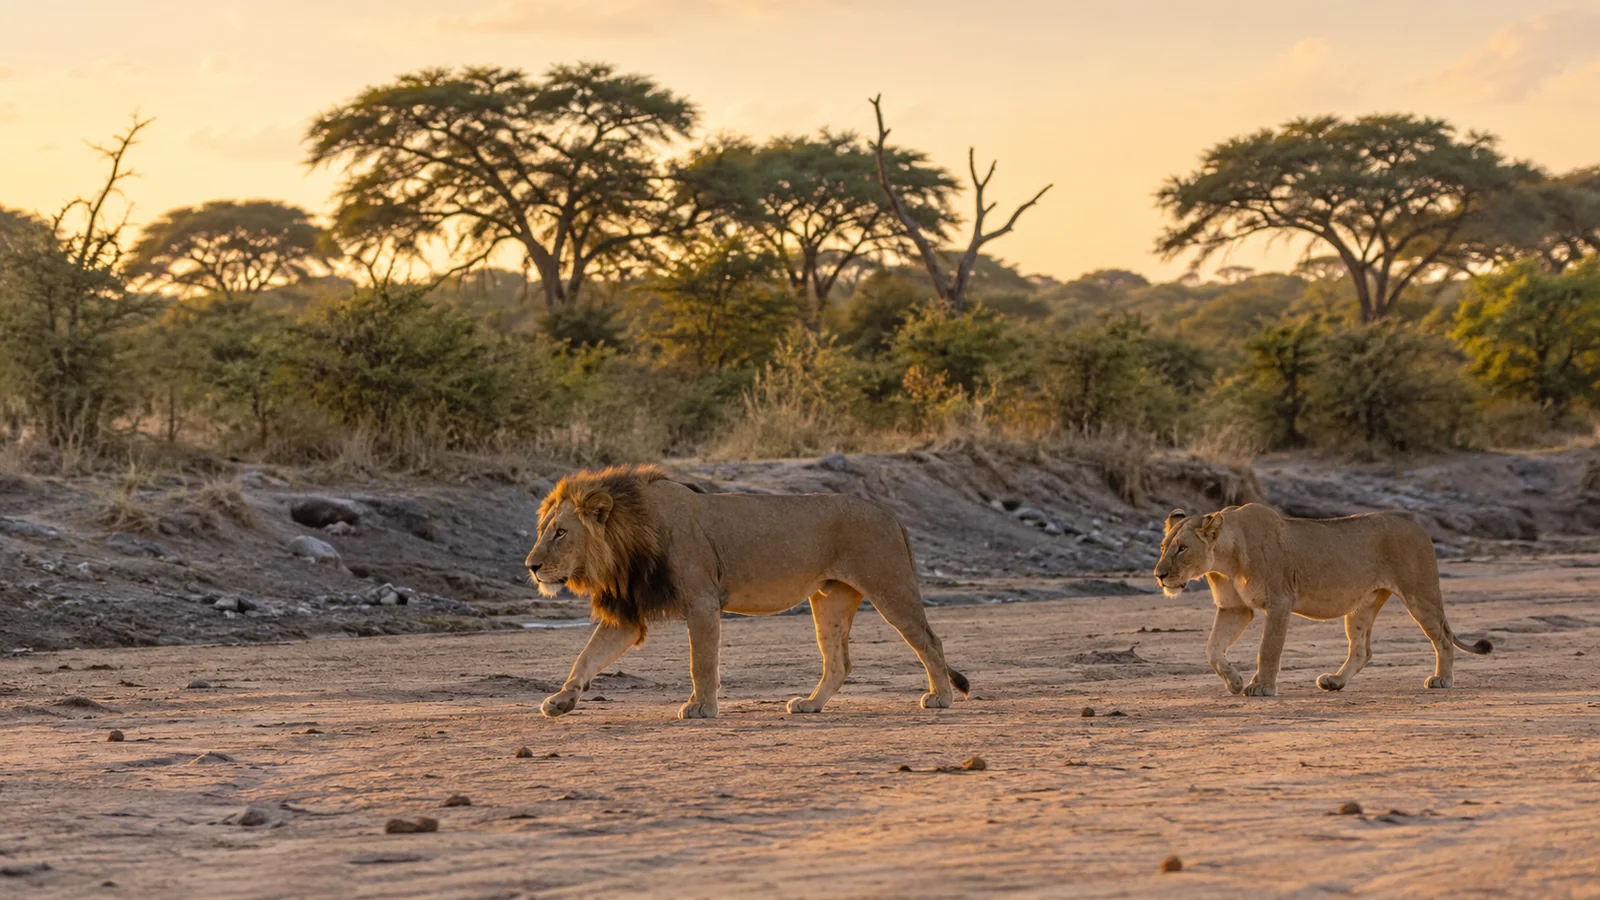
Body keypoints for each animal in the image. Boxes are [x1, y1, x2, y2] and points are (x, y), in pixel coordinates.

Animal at [524, 464, 970, 719]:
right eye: (543, 529)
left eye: (561, 532)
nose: (531, 566)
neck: (627, 537)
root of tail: (890, 513)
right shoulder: (628, 615)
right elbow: (585, 658)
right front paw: (560, 702)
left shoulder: (702, 601)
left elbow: (701, 663)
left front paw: (702, 708)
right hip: (829, 600)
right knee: (839, 662)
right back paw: (810, 705)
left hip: (889, 586)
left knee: (929, 640)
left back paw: (941, 697)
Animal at [1153, 503, 1492, 696]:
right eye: (1163, 546)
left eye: (1182, 548)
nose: (1159, 575)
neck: (1225, 560)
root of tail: (1420, 527)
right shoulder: (1234, 608)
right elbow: (1212, 649)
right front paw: (1234, 682)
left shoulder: (1279, 602)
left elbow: (1268, 649)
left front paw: (1262, 686)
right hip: (1362, 606)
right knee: (1362, 650)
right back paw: (1335, 682)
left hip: (1419, 594)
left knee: (1443, 638)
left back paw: (1442, 680)